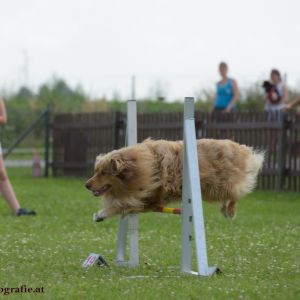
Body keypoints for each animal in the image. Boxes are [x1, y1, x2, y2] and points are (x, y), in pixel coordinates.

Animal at [85, 138, 264, 220]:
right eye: (96, 171)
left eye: (103, 173)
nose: (86, 185)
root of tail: (241, 148)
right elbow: (123, 204)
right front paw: (101, 214)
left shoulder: (149, 198)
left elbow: (121, 205)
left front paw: (101, 214)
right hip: (210, 190)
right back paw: (224, 208)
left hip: (219, 186)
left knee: (236, 193)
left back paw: (230, 211)